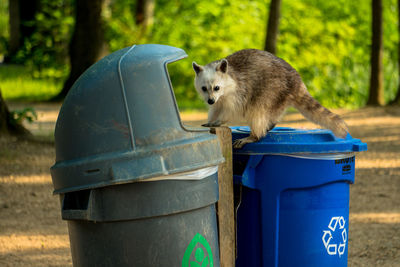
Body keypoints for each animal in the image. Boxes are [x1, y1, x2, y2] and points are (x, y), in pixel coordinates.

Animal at [192, 48, 348, 149]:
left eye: (217, 87)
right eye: (204, 88)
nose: (210, 100)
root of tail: (296, 81)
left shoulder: (237, 92)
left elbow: (230, 110)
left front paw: (219, 121)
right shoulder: (217, 99)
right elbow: (215, 108)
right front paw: (211, 119)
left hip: (272, 88)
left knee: (257, 112)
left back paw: (255, 135)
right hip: (279, 96)